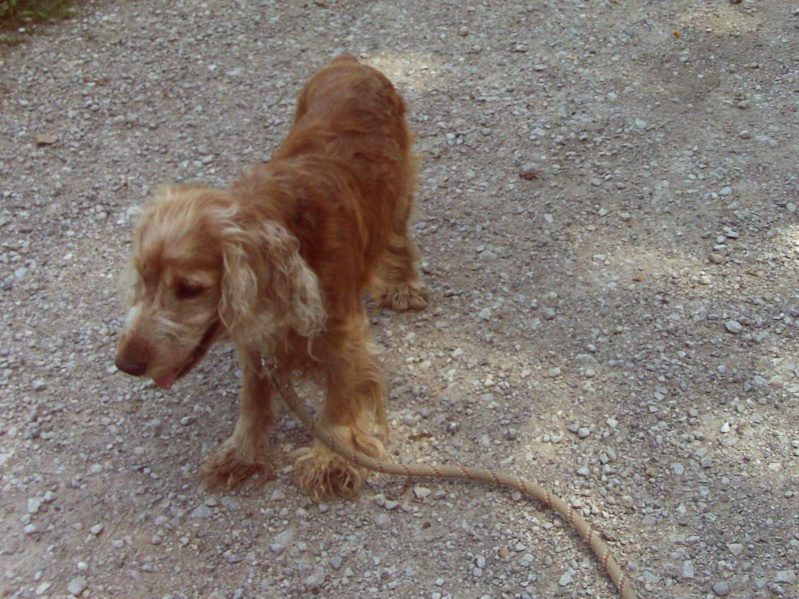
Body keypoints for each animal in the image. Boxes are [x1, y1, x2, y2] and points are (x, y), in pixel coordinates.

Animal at [115, 54, 428, 500]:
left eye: (189, 289)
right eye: (143, 277)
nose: (126, 364)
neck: (293, 232)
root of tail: (351, 61)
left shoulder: (341, 328)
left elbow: (342, 389)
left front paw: (332, 457)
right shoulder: (255, 335)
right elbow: (253, 395)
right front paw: (243, 452)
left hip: (399, 188)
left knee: (399, 236)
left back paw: (404, 286)